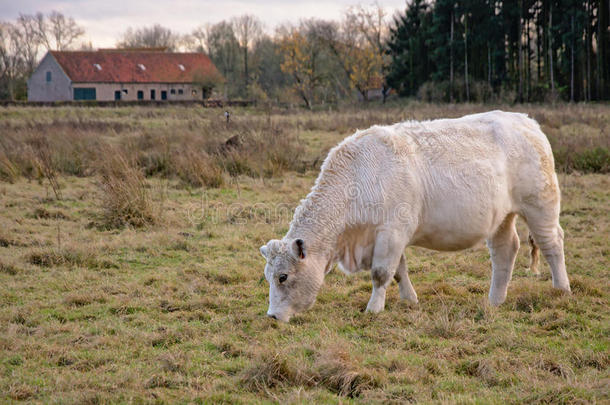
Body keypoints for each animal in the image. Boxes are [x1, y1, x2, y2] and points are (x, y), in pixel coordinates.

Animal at [258, 110, 568, 322]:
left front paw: (374, 308)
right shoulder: (390, 238)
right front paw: (409, 300)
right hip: (501, 218)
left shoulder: (392, 232)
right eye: (268, 276)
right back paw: (494, 300)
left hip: (541, 206)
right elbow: (399, 271)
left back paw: (561, 289)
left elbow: (381, 273)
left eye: (283, 277)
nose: (272, 315)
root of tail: (527, 122)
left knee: (552, 244)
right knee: (505, 251)